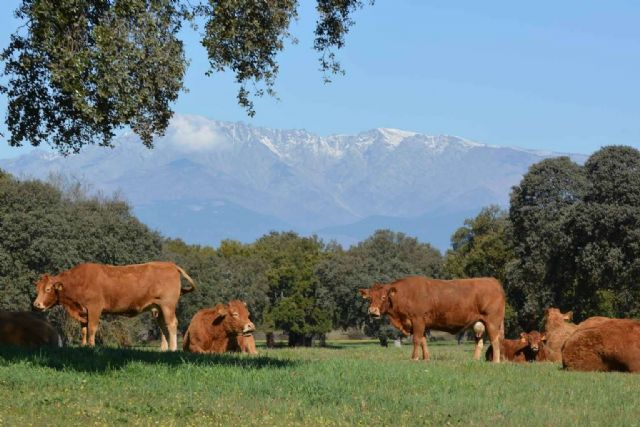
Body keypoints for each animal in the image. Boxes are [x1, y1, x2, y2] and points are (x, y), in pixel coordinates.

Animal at [32, 260, 195, 352]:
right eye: (37, 289)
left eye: (48, 289)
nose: (36, 304)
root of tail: (170, 264)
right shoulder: (83, 312)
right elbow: (84, 330)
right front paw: (83, 346)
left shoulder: (95, 308)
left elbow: (92, 329)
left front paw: (91, 346)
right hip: (158, 308)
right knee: (163, 326)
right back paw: (166, 350)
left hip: (167, 305)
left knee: (172, 324)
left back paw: (173, 348)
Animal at [360, 278, 504, 364]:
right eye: (370, 298)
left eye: (384, 297)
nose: (372, 311)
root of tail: (492, 280)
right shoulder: (421, 324)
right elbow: (423, 341)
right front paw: (426, 358)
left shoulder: (417, 320)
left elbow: (416, 340)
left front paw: (414, 358)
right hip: (478, 324)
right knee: (479, 342)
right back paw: (474, 360)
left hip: (492, 322)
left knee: (495, 340)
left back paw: (495, 361)